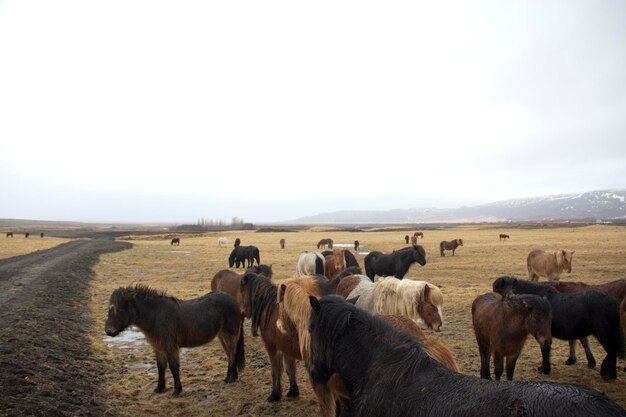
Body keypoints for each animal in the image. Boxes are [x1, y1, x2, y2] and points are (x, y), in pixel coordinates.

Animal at [103, 284, 243, 394]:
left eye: (119, 309)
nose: (108, 331)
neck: (156, 316)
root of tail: (235, 302)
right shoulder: (158, 348)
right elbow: (160, 367)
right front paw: (159, 388)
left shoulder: (170, 347)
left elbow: (173, 367)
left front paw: (177, 389)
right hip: (222, 336)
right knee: (230, 355)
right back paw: (232, 377)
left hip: (229, 335)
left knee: (232, 355)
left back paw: (230, 379)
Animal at [238, 272, 302, 402]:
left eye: (242, 291)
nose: (242, 312)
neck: (270, 311)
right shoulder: (286, 348)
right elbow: (290, 368)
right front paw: (293, 391)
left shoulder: (272, 346)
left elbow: (275, 371)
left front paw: (274, 395)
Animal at [490, 276, 620, 380]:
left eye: (498, 291)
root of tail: (614, 303)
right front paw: (543, 368)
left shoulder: (544, 334)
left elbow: (545, 349)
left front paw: (544, 369)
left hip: (604, 334)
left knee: (612, 351)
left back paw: (608, 374)